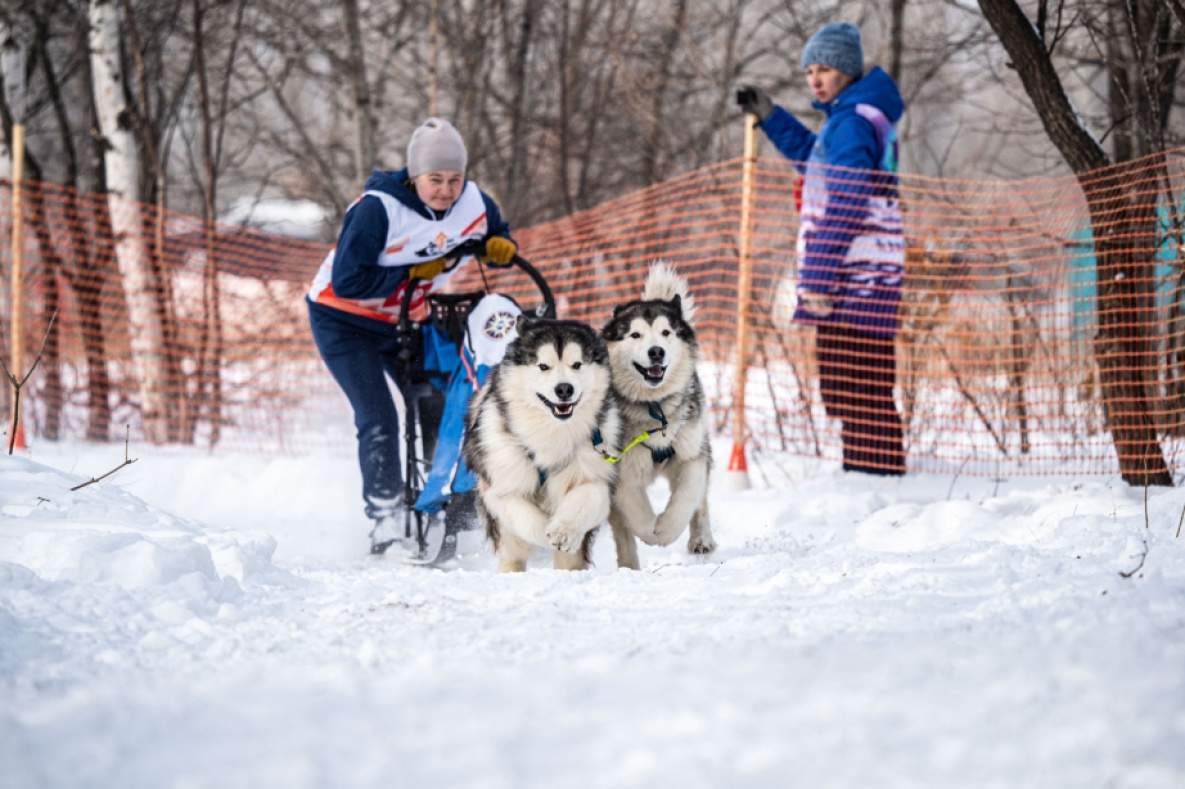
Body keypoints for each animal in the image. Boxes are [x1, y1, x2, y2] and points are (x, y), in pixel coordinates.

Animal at [466, 315, 625, 571]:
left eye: (577, 365)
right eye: (543, 366)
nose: (564, 389)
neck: (551, 432)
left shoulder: (595, 470)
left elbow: (587, 498)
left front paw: (562, 531)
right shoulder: (500, 481)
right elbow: (524, 517)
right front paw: (544, 532)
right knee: (512, 554)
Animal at [601, 263, 710, 566]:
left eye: (665, 333)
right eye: (635, 335)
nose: (656, 352)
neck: (654, 406)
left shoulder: (692, 456)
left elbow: (687, 496)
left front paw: (667, 529)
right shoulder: (620, 470)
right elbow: (635, 511)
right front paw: (652, 532)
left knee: (701, 501)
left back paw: (702, 539)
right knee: (623, 535)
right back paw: (629, 566)